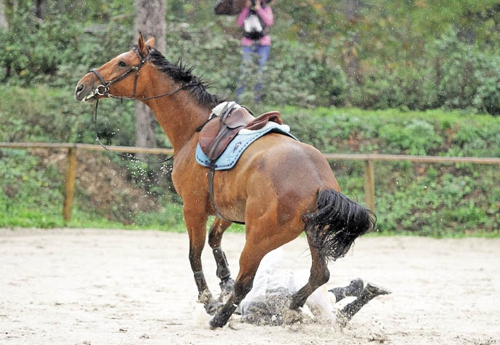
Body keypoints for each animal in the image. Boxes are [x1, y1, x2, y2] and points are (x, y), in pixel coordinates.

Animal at [75, 33, 376, 326]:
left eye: (122, 63)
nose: (81, 85)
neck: (194, 128)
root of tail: (319, 183)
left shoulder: (193, 208)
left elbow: (194, 254)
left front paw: (208, 299)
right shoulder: (226, 210)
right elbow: (214, 240)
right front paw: (223, 280)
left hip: (258, 238)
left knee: (247, 281)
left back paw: (220, 318)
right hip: (314, 234)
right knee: (319, 274)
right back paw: (291, 308)